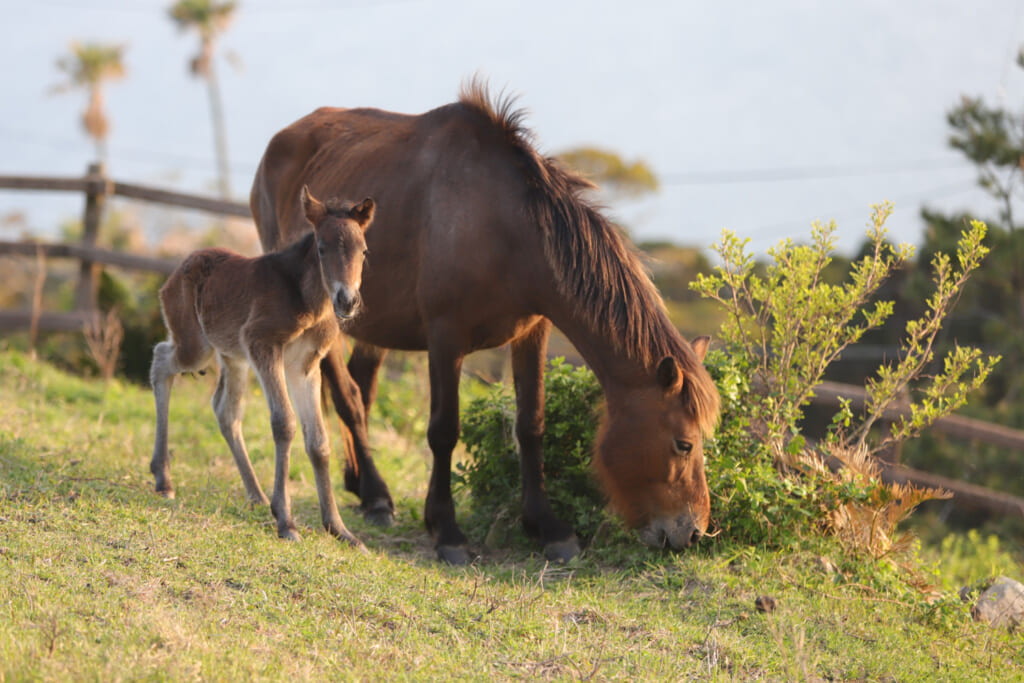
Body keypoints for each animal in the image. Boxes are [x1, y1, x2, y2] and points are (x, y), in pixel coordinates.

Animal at [250, 77, 720, 565]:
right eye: (684, 444)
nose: (694, 532)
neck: (502, 224)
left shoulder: (533, 332)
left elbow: (531, 424)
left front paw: (547, 526)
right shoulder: (445, 338)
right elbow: (443, 431)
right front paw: (446, 530)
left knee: (362, 385)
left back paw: (361, 486)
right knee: (349, 397)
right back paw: (377, 495)